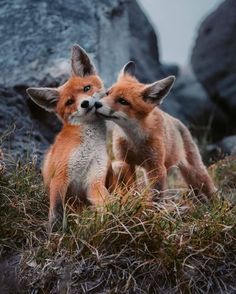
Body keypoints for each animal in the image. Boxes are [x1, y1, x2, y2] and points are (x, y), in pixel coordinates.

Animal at [26, 44, 113, 229]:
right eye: (69, 102)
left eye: (87, 88)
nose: (85, 104)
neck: (89, 146)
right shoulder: (60, 176)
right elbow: (57, 210)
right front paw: (54, 231)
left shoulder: (94, 180)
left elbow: (107, 201)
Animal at [95, 62, 217, 200]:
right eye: (107, 93)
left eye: (123, 101)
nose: (96, 104)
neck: (134, 140)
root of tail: (178, 121)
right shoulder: (125, 161)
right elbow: (131, 188)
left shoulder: (155, 166)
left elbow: (156, 196)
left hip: (195, 172)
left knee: (209, 187)